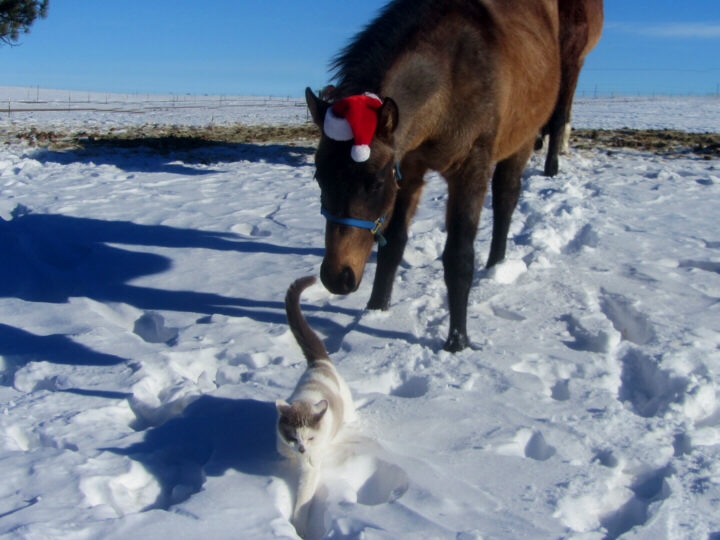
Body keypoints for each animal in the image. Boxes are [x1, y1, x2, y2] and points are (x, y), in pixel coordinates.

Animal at [276, 276, 356, 537]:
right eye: (293, 437)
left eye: (310, 438)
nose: (301, 449)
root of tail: (320, 362)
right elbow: (281, 449)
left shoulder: (311, 466)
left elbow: (303, 499)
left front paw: (298, 527)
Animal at [306, 0, 561, 352]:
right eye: (320, 179)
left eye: (376, 183)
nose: (336, 278)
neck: (452, 77)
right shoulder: (409, 169)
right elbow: (393, 245)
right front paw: (376, 310)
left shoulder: (470, 170)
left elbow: (459, 258)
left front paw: (457, 342)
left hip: (520, 144)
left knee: (506, 199)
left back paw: (496, 266)